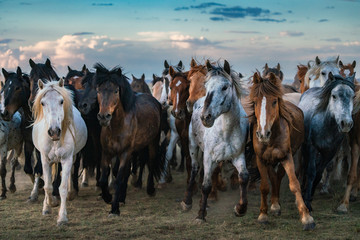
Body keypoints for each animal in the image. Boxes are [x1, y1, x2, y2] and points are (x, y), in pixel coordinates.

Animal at [32, 78, 87, 225]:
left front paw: (62, 217)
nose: (54, 132)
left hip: (72, 158)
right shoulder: (45, 160)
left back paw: (70, 192)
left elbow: (62, 188)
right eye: (42, 103)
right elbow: (48, 187)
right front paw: (49, 205)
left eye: (61, 101)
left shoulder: (67, 159)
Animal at [94, 62, 165, 216]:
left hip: (152, 142)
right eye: (98, 90)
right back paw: (122, 197)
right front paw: (108, 197)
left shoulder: (125, 153)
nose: (103, 117)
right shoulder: (107, 153)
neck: (117, 126)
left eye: (116, 91)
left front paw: (114, 208)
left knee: (151, 162)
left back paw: (150, 189)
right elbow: (104, 179)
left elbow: (119, 179)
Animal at [181, 60, 249, 223]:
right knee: (194, 169)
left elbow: (244, 177)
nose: (206, 117)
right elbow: (205, 185)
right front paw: (200, 215)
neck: (226, 131)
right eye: (207, 86)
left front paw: (240, 208)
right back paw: (187, 202)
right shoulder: (208, 158)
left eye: (224, 87)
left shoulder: (238, 156)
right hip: (193, 148)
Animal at [250, 71, 316, 231]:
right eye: (254, 102)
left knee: (278, 176)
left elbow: (294, 184)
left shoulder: (286, 157)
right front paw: (263, 215)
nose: (263, 134)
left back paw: (276, 204)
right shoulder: (261, 159)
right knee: (273, 177)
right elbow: (264, 186)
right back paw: (274, 205)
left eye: (274, 101)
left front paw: (306, 218)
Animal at [298, 72, 354, 213]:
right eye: (334, 96)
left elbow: (319, 173)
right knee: (304, 165)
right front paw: (307, 202)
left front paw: (310, 196)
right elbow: (311, 171)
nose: (346, 123)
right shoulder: (312, 148)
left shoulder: (329, 152)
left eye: (353, 96)